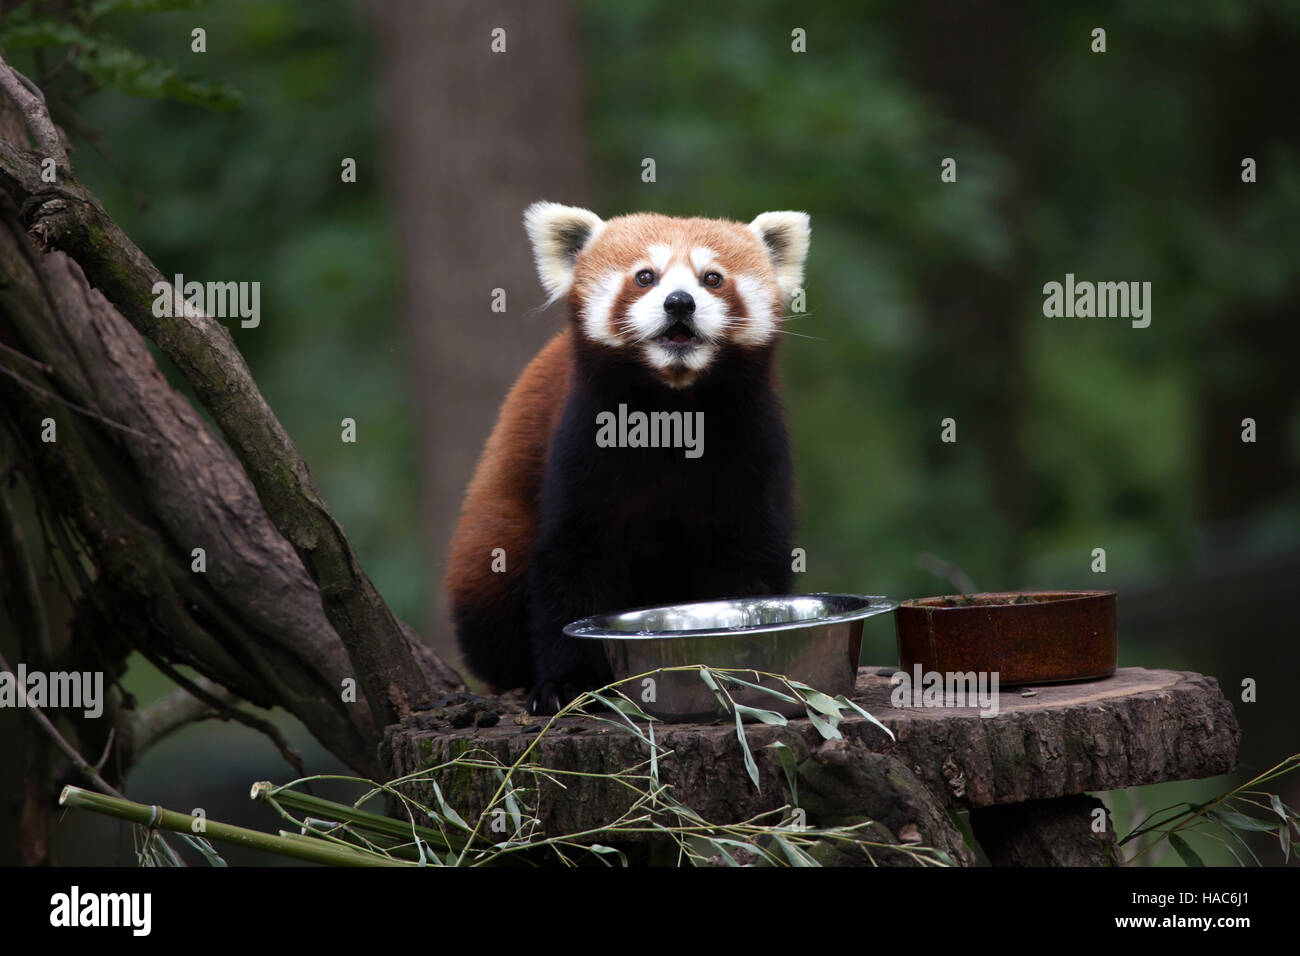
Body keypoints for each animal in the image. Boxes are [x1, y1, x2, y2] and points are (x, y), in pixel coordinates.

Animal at [447, 200, 811, 712]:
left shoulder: (754, 448)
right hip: (493, 533)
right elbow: (574, 566)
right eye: (645, 277)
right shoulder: (584, 443)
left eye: (712, 278)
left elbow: (749, 561)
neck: (672, 412)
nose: (679, 302)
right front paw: (568, 684)